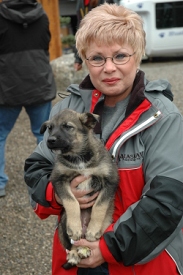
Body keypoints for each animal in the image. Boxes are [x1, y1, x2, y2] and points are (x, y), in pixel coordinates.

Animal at [40, 109, 118, 270]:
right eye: (50, 127)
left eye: (68, 127)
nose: (50, 140)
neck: (78, 158)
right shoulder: (58, 179)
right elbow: (72, 202)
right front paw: (75, 227)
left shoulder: (110, 180)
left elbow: (99, 206)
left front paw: (93, 230)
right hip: (62, 223)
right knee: (72, 243)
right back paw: (75, 253)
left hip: (106, 223)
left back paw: (85, 248)